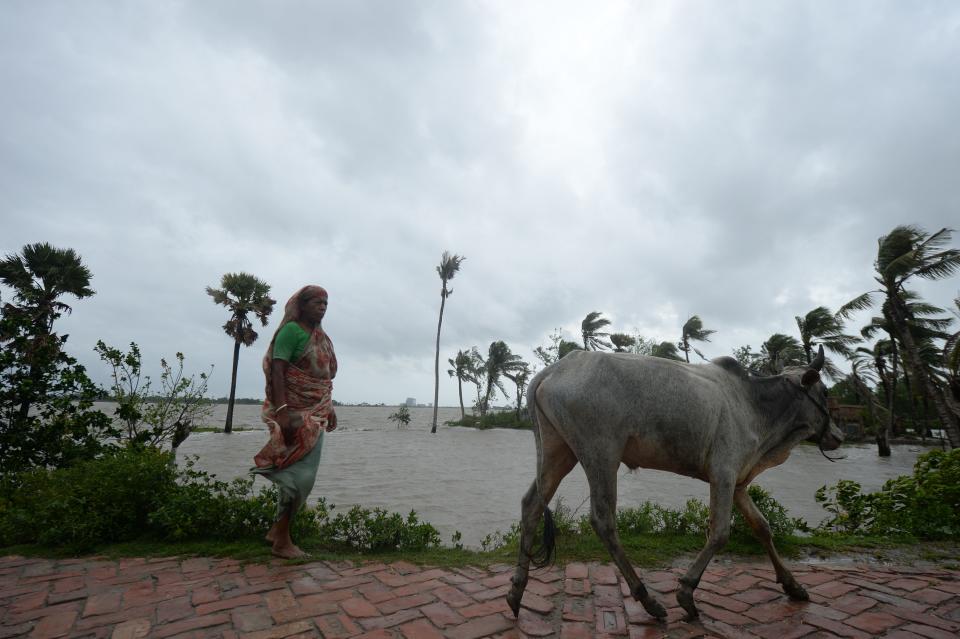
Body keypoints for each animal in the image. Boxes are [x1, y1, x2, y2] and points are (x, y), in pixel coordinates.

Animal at [506, 344, 844, 620]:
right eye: (826, 393)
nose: (839, 436)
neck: (755, 405)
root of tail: (553, 370)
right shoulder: (723, 472)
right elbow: (720, 533)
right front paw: (686, 593)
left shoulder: (737, 482)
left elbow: (762, 527)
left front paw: (793, 586)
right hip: (600, 453)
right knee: (603, 520)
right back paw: (648, 600)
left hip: (559, 451)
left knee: (531, 505)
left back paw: (515, 593)